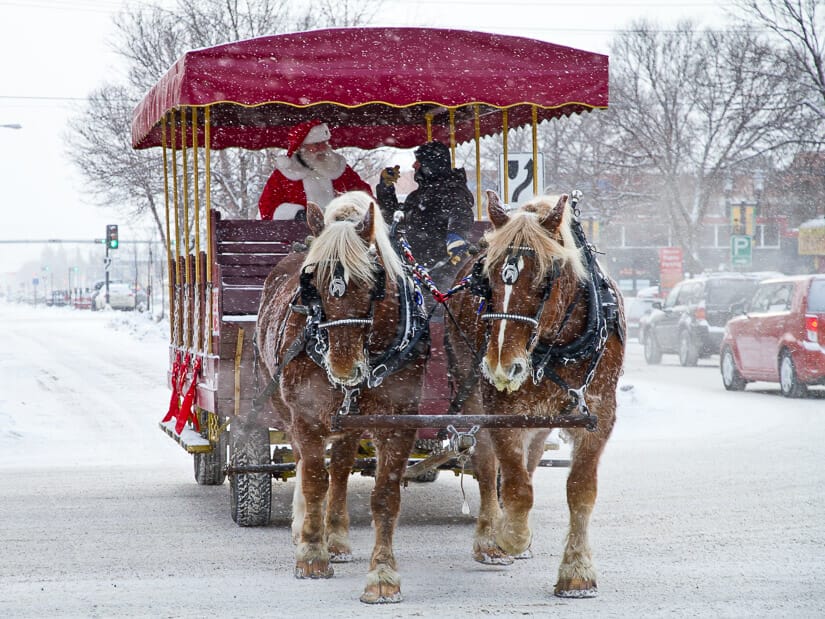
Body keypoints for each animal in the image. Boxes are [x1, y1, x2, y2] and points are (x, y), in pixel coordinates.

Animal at [254, 191, 428, 604]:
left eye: (373, 280)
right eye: (311, 282)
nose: (344, 365)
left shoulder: (399, 420)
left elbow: (384, 495)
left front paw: (383, 575)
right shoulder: (306, 414)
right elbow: (315, 479)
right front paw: (311, 555)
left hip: (350, 421)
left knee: (343, 467)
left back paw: (335, 535)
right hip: (285, 407)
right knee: (306, 464)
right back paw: (305, 527)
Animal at [444, 191, 624, 600]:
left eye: (546, 277)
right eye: (487, 276)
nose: (501, 365)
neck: (559, 347)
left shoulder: (599, 413)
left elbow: (580, 489)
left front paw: (577, 573)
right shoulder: (501, 410)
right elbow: (514, 485)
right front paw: (510, 536)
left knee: (532, 457)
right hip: (472, 390)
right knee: (486, 464)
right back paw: (489, 539)